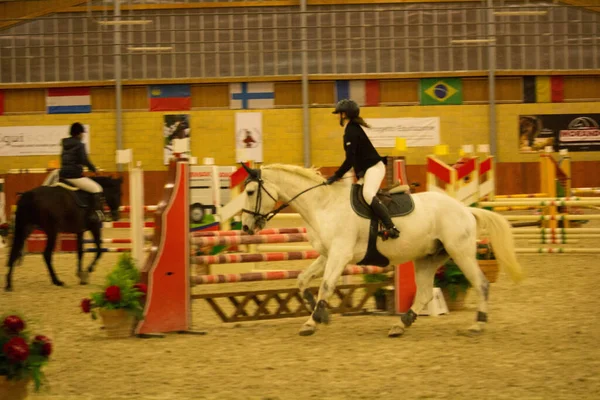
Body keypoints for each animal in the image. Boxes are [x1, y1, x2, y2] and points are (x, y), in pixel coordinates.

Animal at [241, 164, 524, 336]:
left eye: (251, 191)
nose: (245, 227)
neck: (324, 205)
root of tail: (465, 209)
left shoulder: (340, 254)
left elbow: (326, 285)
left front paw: (314, 320)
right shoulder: (326, 255)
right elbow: (302, 280)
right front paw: (317, 311)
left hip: (460, 252)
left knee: (481, 284)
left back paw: (477, 325)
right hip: (427, 258)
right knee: (424, 294)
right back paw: (401, 324)